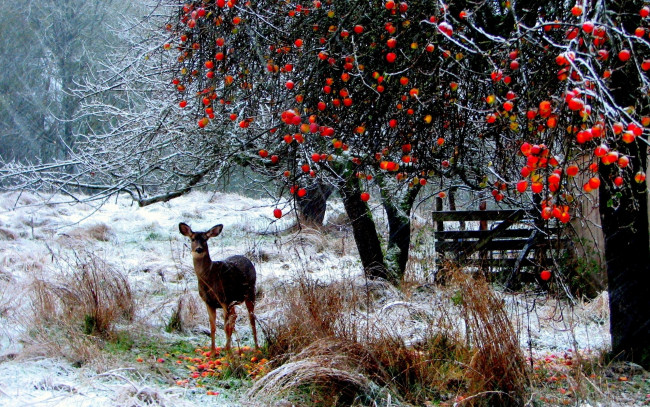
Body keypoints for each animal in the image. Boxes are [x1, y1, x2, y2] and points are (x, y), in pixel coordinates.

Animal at [178, 223, 260, 356]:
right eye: (193, 239)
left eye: (205, 239)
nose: (199, 249)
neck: (209, 278)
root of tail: (247, 259)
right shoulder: (209, 302)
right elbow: (213, 327)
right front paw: (212, 352)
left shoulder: (223, 299)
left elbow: (226, 327)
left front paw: (228, 354)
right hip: (233, 301)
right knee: (235, 316)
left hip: (250, 292)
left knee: (251, 318)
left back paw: (256, 348)